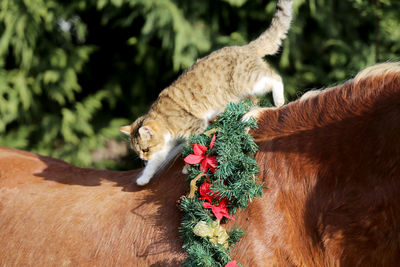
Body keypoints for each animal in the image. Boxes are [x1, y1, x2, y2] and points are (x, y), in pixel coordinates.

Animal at [120, 0, 292, 186]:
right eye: (139, 152)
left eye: (145, 149)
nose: (143, 158)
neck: (162, 118)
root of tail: (245, 47)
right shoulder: (166, 144)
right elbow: (155, 163)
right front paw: (143, 178)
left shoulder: (195, 127)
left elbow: (190, 148)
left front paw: (187, 167)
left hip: (248, 81)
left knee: (275, 77)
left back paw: (279, 100)